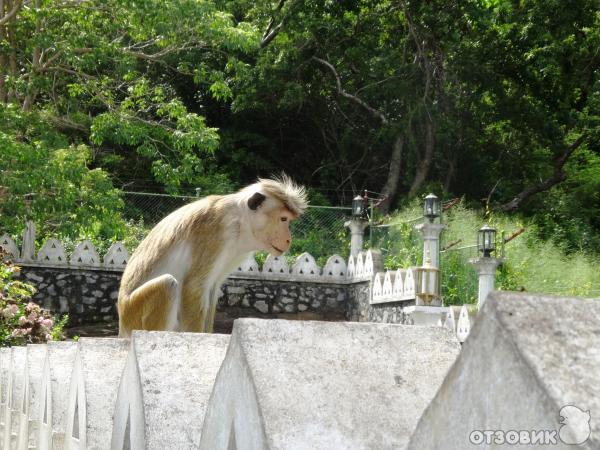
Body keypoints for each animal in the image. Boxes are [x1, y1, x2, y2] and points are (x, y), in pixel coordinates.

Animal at [116, 176, 308, 338]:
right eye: (283, 219)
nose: (289, 240)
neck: (240, 222)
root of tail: (122, 324)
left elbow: (212, 289)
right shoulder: (215, 232)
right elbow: (194, 288)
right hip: (135, 313)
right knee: (168, 284)